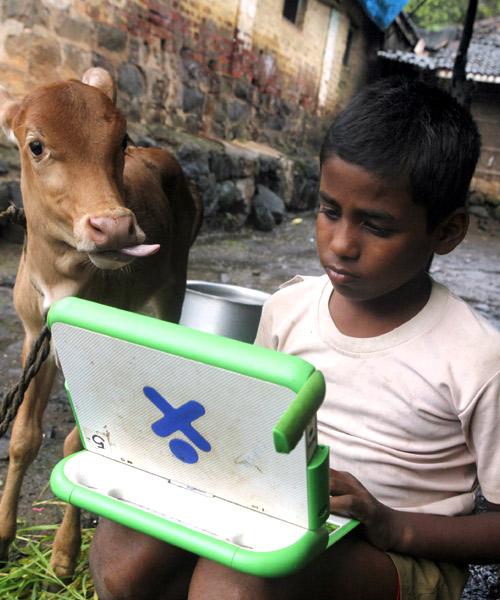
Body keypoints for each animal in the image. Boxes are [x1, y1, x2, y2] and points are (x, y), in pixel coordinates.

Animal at [0, 69, 203, 576]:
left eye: (121, 139)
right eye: (36, 144)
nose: (114, 227)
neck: (60, 281)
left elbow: (77, 442)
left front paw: (63, 555)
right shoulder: (35, 336)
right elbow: (24, 438)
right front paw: (3, 536)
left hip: (174, 285)